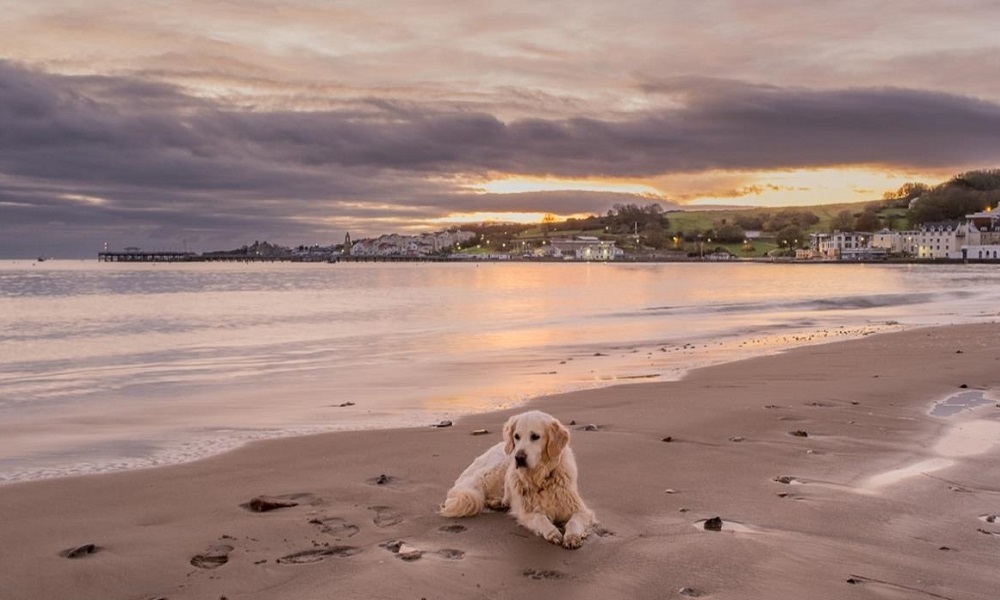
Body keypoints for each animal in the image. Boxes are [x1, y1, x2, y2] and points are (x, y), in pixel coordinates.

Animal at [438, 412, 592, 548]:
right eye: (516, 436)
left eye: (535, 436)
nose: (519, 457)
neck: (540, 477)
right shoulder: (527, 512)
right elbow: (540, 518)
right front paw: (552, 532)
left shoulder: (580, 509)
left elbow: (574, 522)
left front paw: (572, 537)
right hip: (497, 469)